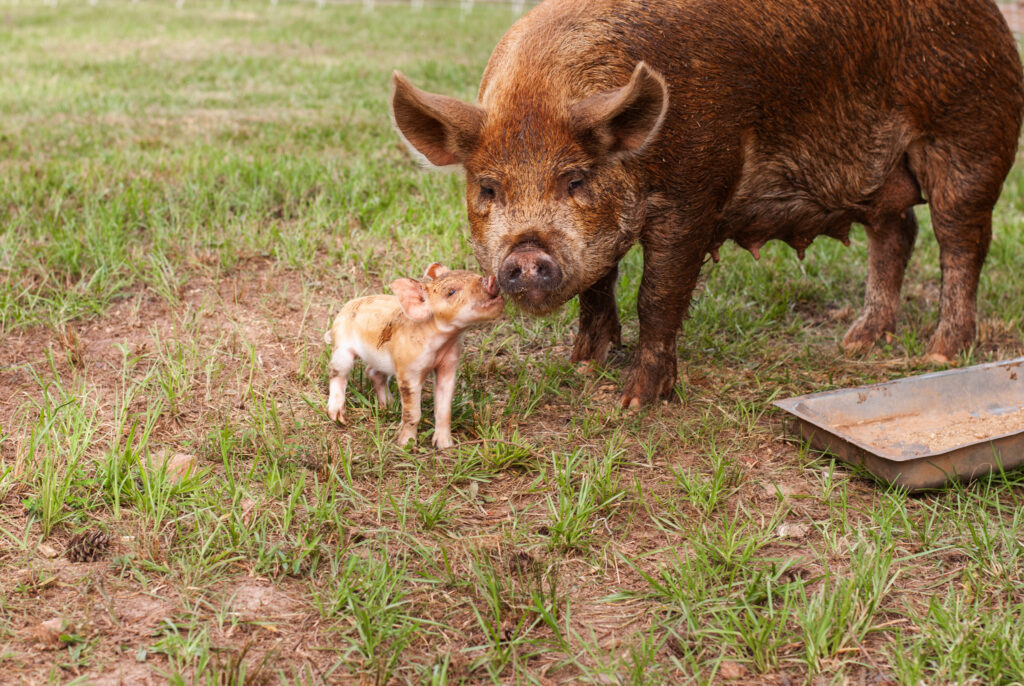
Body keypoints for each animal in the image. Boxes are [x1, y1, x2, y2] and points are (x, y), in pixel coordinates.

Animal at [387, 1, 1019, 409]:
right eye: (488, 188)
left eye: (576, 179)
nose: (524, 256)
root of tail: (992, 18)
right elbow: (599, 280)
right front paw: (583, 362)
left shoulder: (695, 196)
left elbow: (658, 294)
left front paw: (634, 404)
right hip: (884, 177)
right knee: (897, 232)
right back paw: (858, 342)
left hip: (971, 136)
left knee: (961, 239)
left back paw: (939, 355)